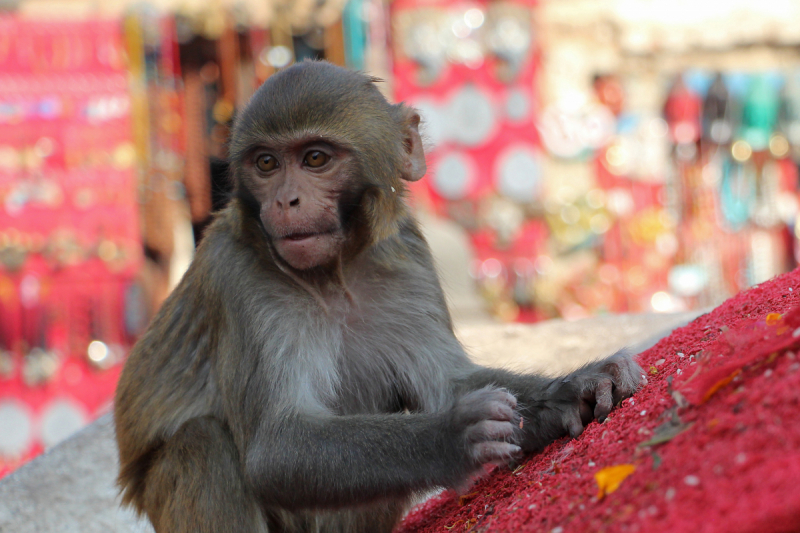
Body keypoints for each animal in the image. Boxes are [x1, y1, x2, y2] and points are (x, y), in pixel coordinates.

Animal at [112, 60, 648, 528]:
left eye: (315, 158)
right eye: (266, 163)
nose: (285, 200)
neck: (336, 274)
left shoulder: (409, 260)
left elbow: (451, 382)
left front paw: (576, 387)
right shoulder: (239, 279)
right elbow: (274, 446)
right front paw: (447, 439)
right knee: (198, 443)